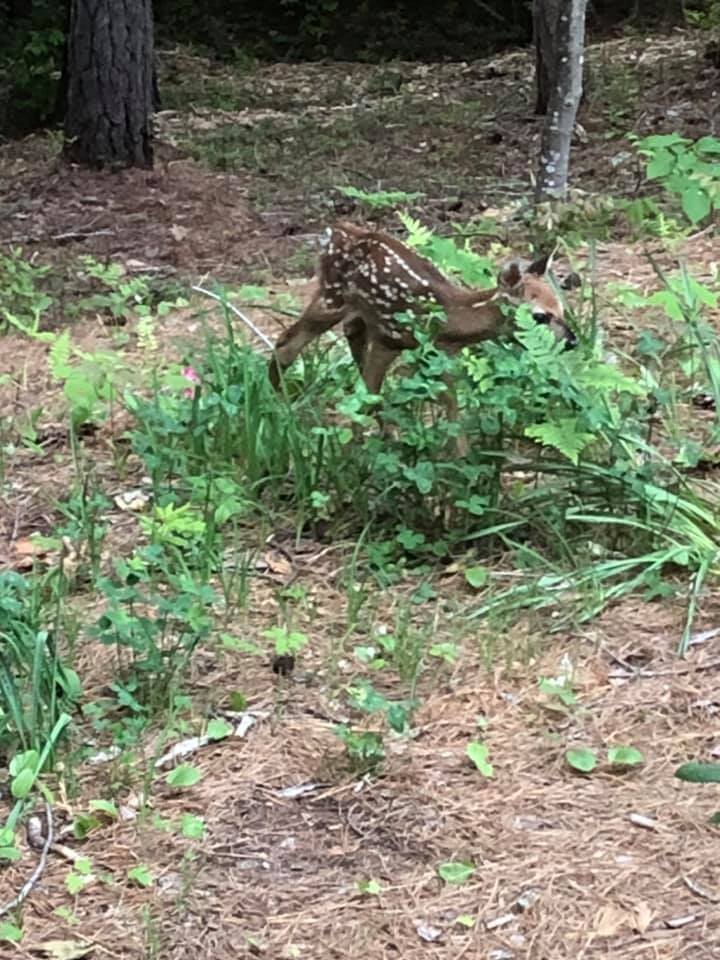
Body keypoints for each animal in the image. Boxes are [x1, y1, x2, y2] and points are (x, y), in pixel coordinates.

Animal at [268, 221, 576, 447]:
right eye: (539, 316)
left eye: (563, 308)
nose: (573, 341)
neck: (448, 319)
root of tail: (333, 232)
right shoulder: (389, 338)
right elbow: (368, 396)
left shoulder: (438, 355)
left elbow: (451, 408)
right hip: (333, 297)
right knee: (287, 342)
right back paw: (281, 412)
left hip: (358, 315)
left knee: (348, 338)